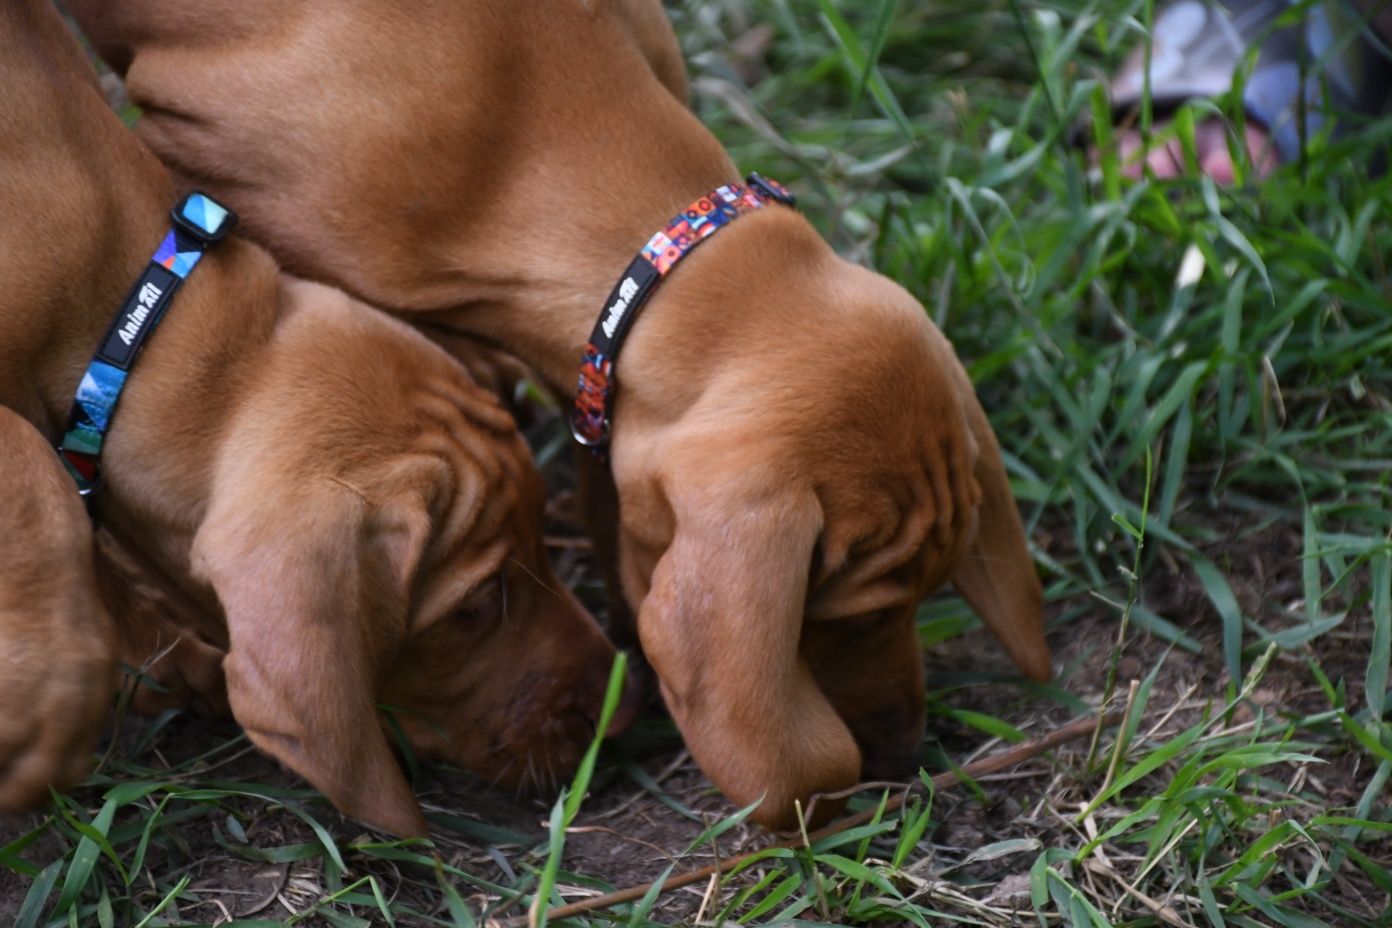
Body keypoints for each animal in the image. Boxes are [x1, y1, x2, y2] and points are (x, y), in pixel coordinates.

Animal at [0, 0, 620, 840]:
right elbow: (36, 470)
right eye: (474, 609)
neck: (141, 315)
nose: (627, 707)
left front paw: (155, 659)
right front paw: (52, 700)